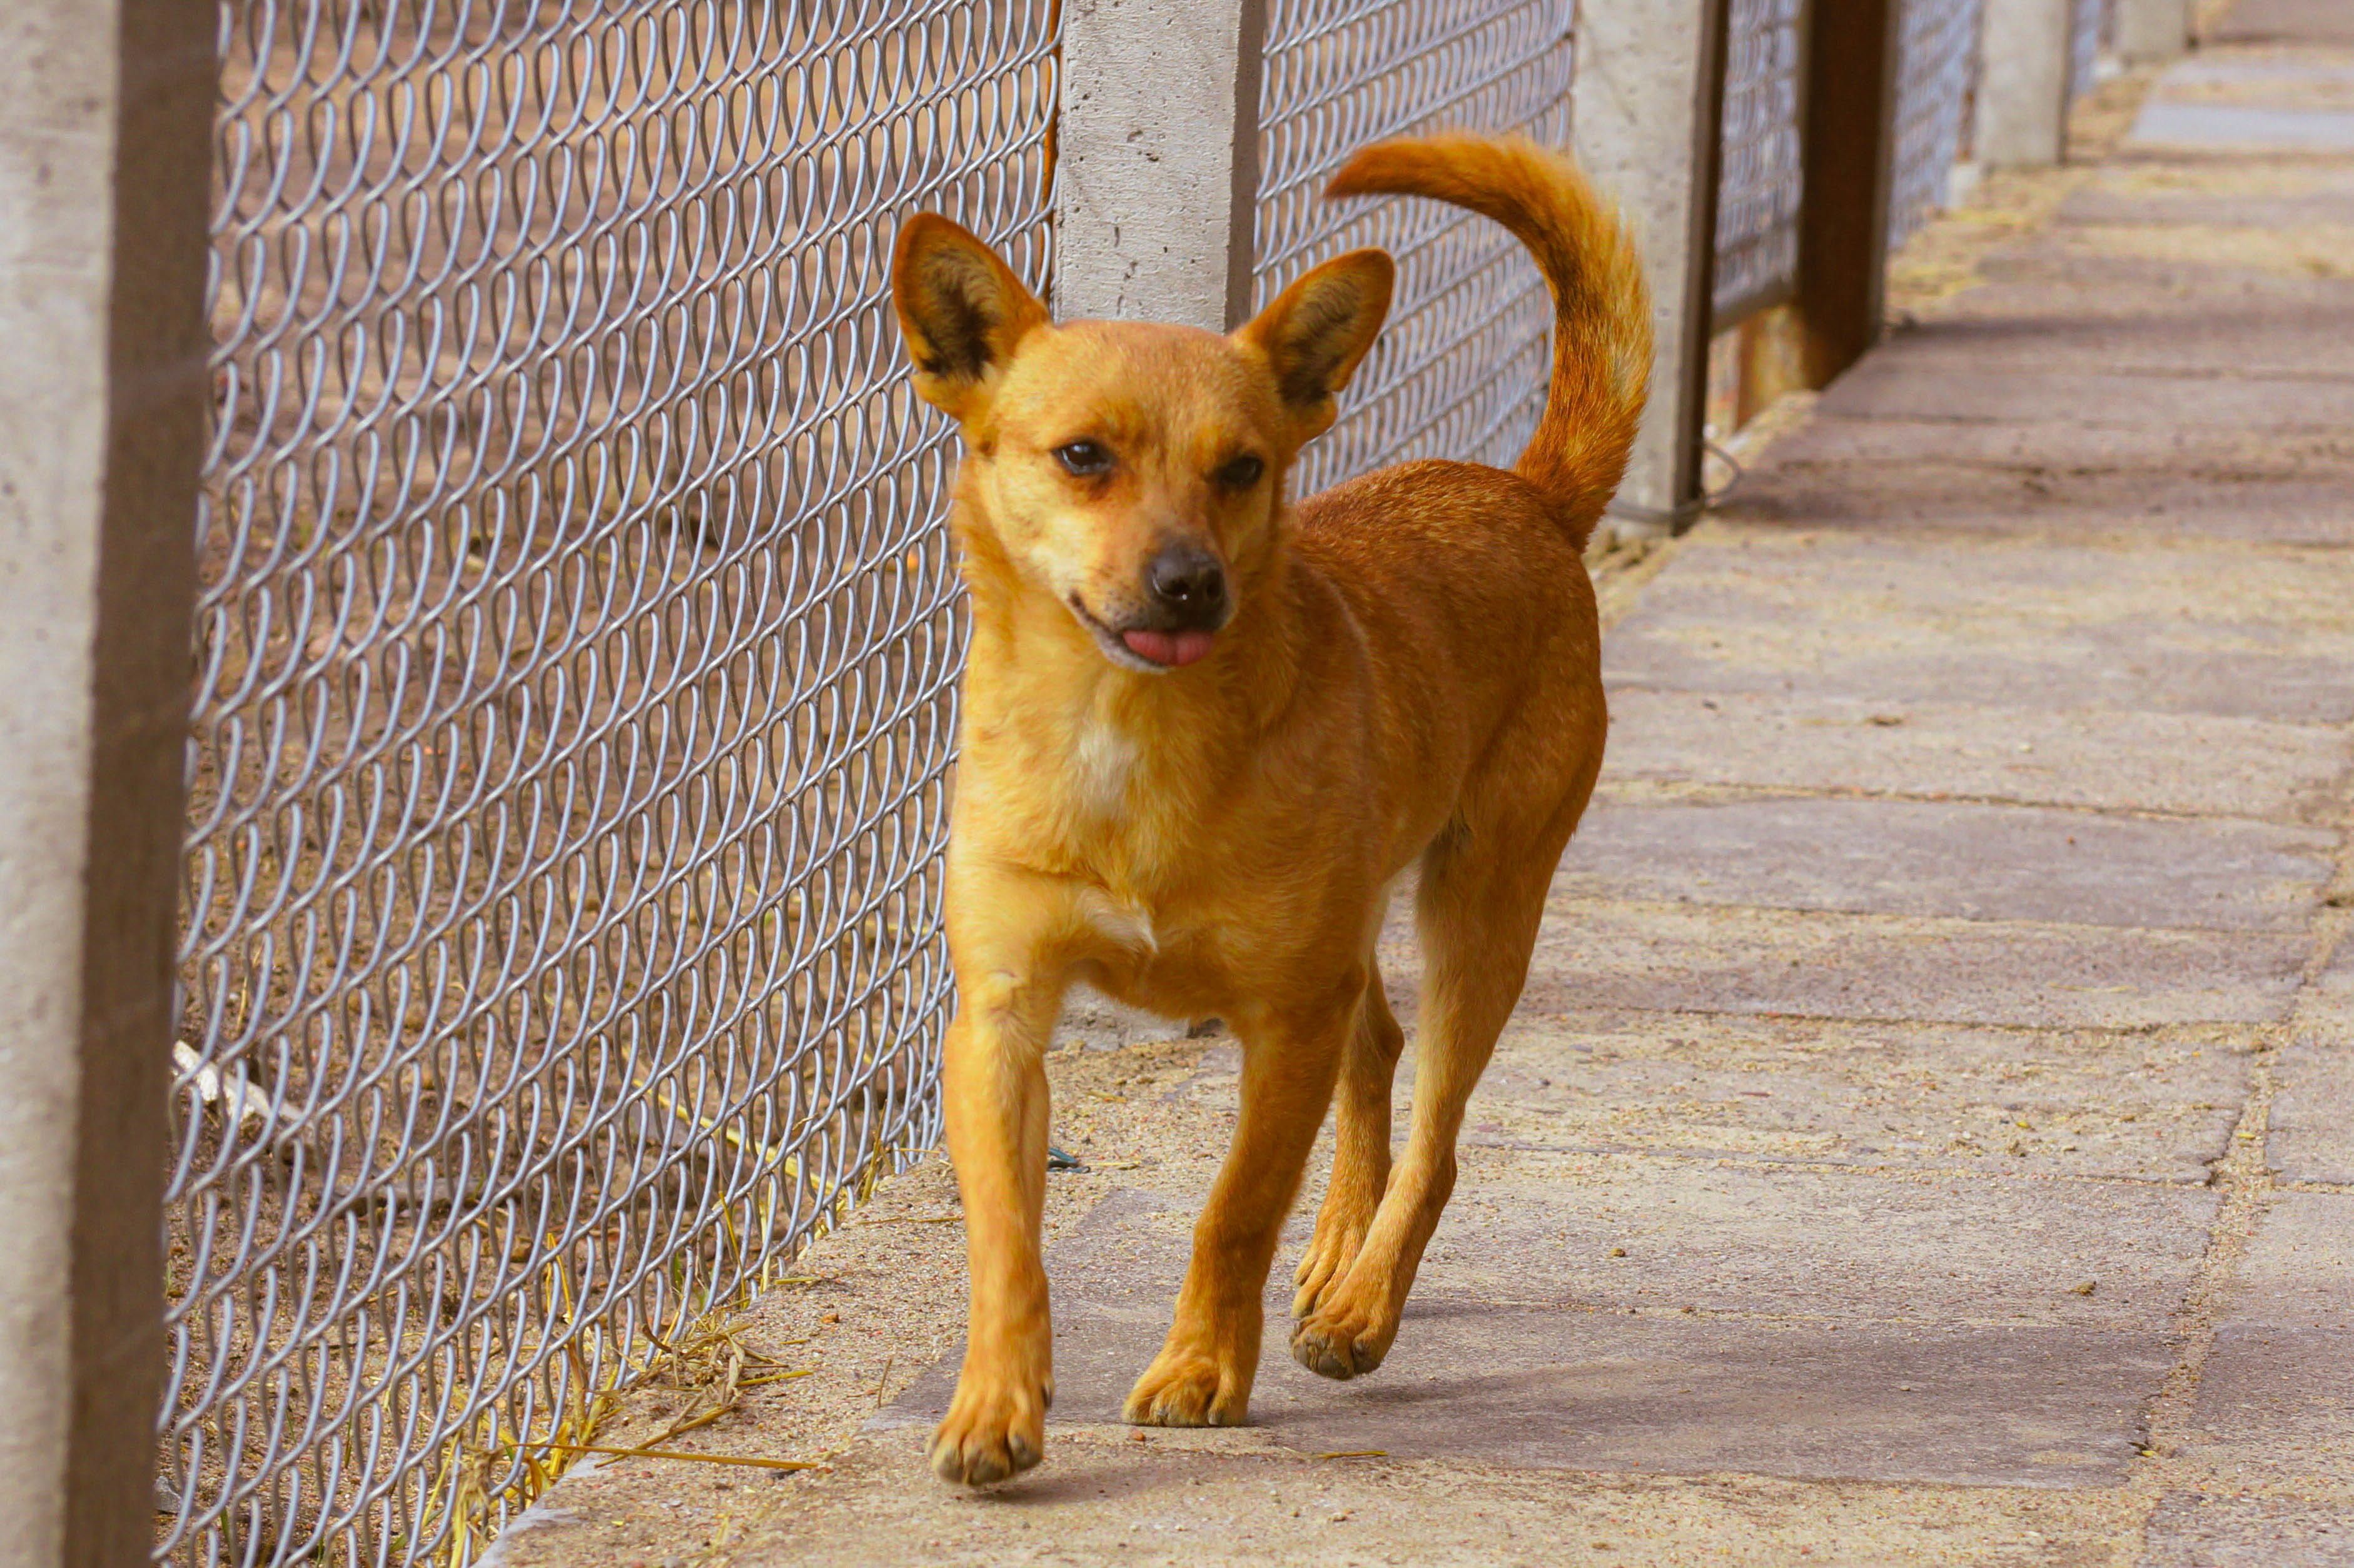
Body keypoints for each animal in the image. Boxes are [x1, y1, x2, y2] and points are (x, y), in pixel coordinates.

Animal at [889, 134, 1647, 1478]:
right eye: (1081, 456)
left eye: (1241, 470)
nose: (1189, 583)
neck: (1127, 737)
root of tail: (1522, 495)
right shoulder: (999, 1020)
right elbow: (1005, 1238)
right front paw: (994, 1400)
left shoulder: (1284, 1019)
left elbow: (1231, 1209)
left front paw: (1201, 1367)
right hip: (1360, 936)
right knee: (1381, 1047)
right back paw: (1336, 1247)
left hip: (1480, 911)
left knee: (1436, 1131)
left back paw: (1360, 1303)